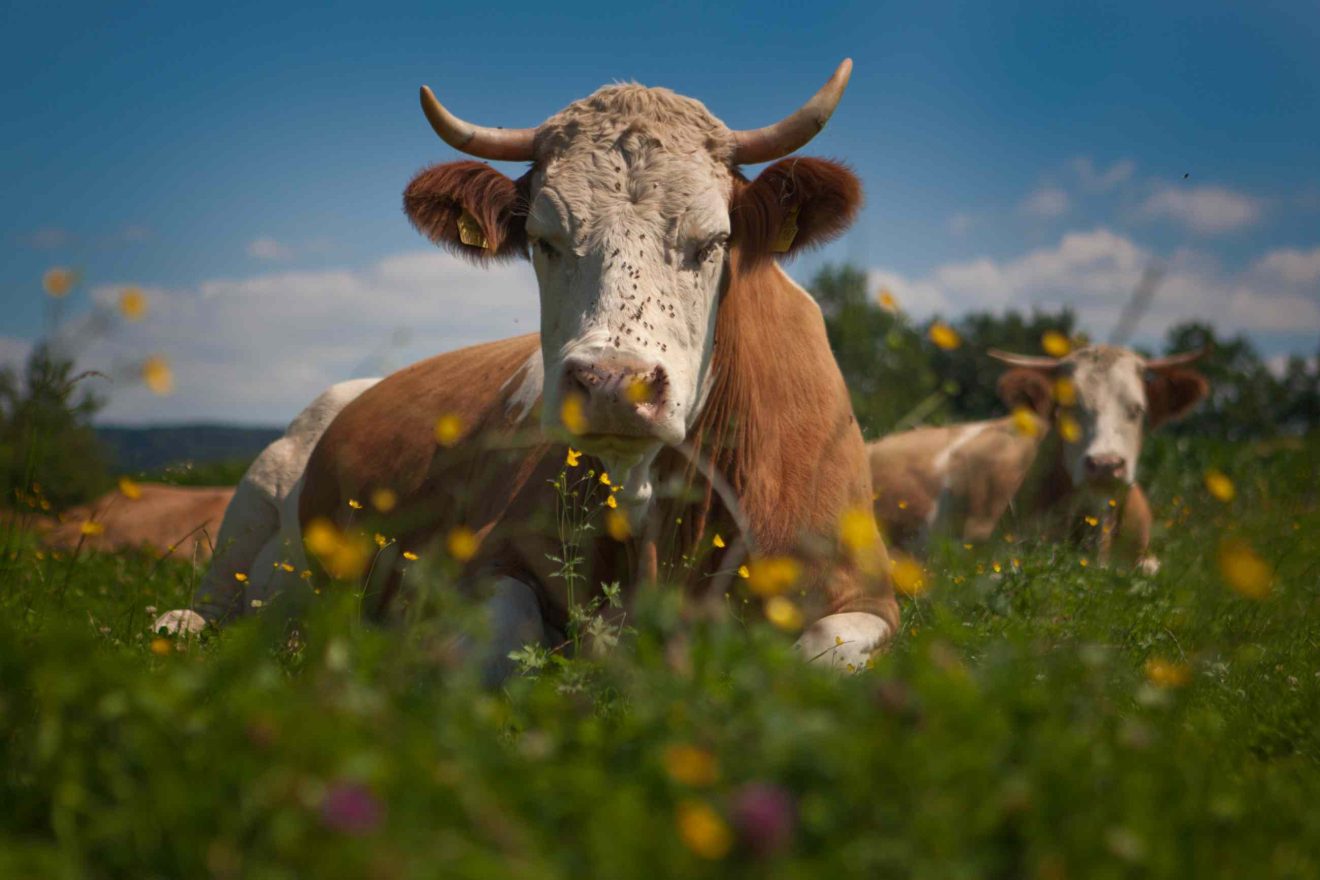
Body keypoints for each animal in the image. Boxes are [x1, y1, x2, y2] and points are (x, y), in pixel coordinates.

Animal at [291, 60, 898, 681]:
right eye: (543, 240)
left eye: (714, 242)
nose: (613, 385)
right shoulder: (488, 558)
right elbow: (501, 634)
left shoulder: (867, 596)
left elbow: (820, 650)